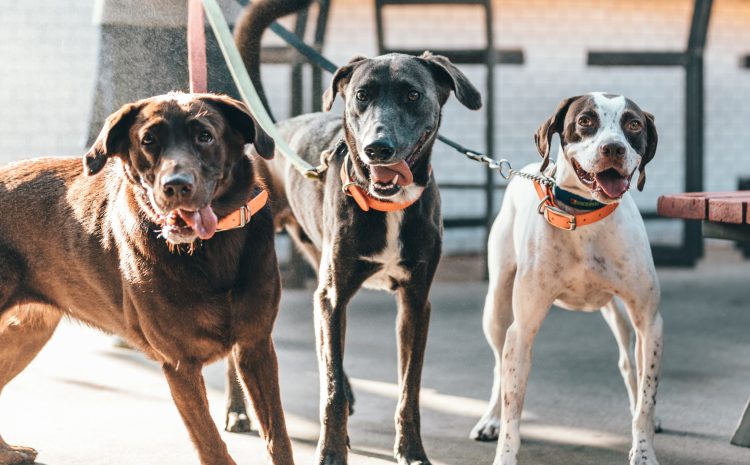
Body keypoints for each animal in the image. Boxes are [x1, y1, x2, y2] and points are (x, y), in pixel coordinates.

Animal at [0, 91, 294, 464]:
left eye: (205, 136)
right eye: (148, 140)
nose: (176, 187)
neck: (208, 251)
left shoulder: (255, 346)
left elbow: (278, 437)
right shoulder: (180, 364)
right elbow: (212, 446)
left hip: (27, 332)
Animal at [476, 93, 664, 464]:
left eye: (634, 124)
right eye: (585, 121)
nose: (613, 148)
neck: (583, 216)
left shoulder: (650, 323)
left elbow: (646, 396)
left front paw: (644, 450)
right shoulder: (522, 330)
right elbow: (513, 406)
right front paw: (505, 451)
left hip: (619, 314)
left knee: (629, 363)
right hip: (496, 308)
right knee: (497, 367)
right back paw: (489, 418)